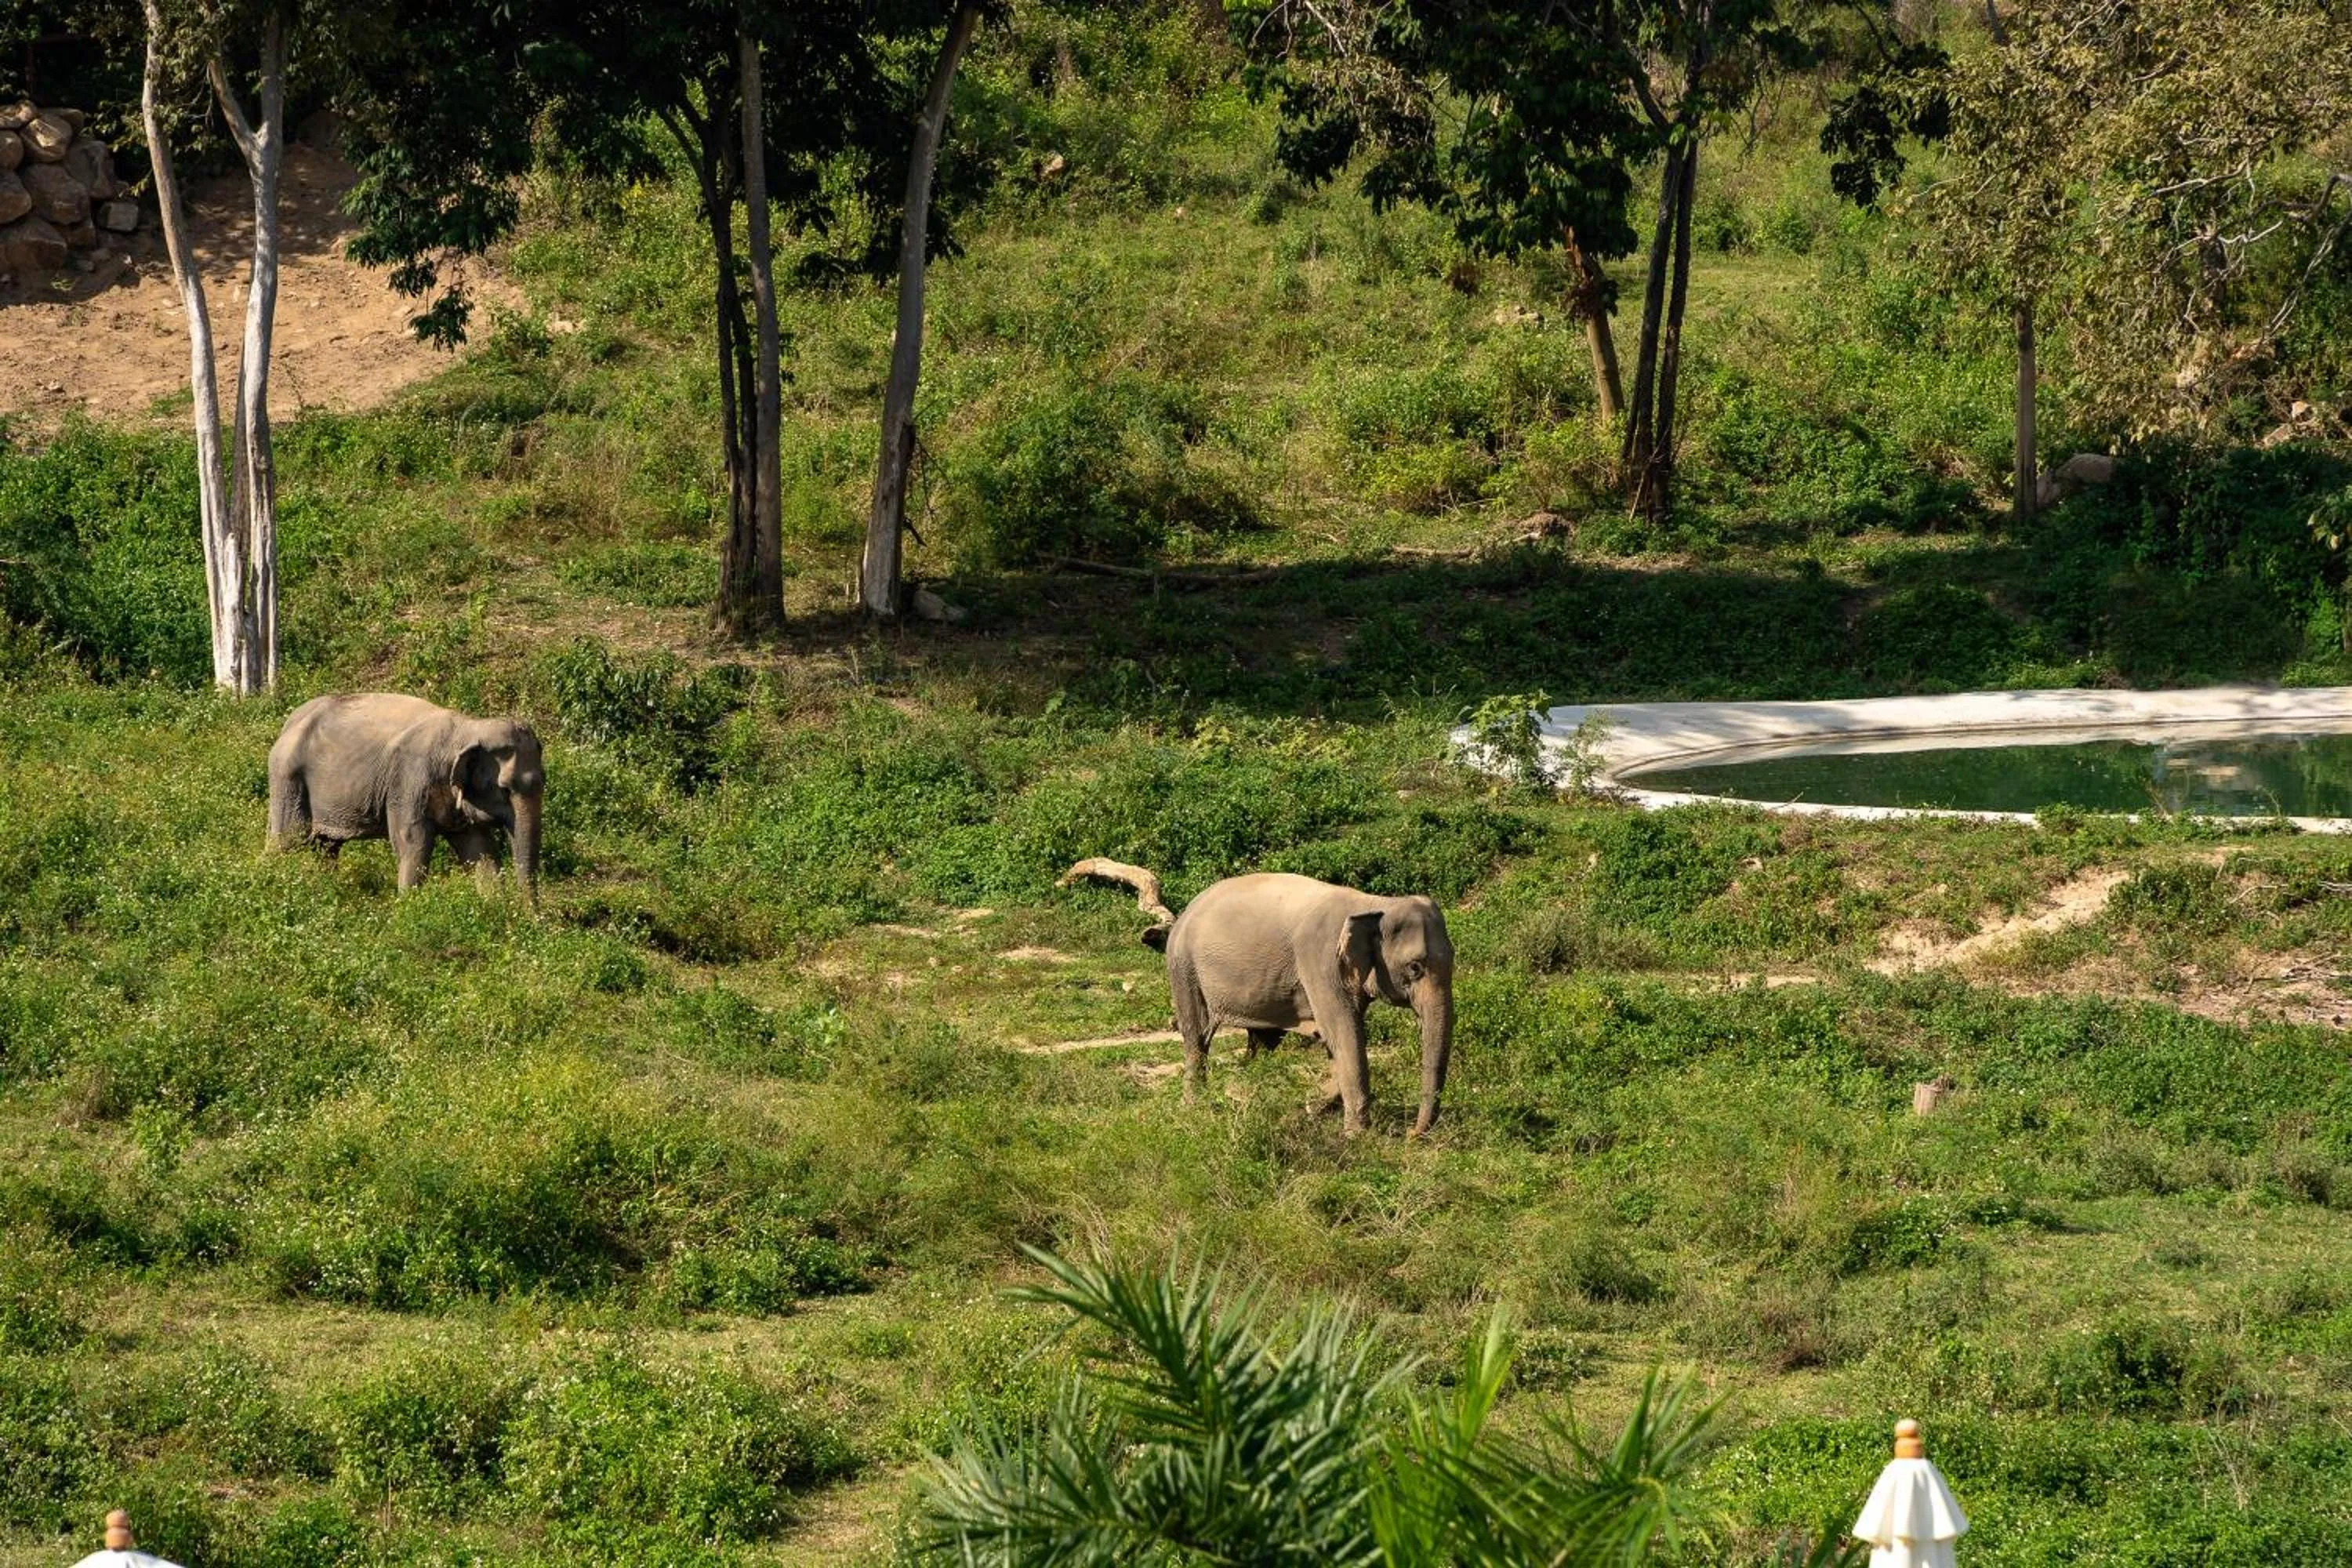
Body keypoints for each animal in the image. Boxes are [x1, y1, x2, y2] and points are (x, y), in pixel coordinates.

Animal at [267, 693, 544, 901]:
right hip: (288, 777)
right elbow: (413, 842)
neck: (468, 728)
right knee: (289, 839)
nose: (533, 920)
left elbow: (480, 848)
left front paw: (494, 907)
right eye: (505, 788)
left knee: (327, 846)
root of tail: (289, 721)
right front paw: (408, 908)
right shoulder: (409, 782)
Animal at [1151, 872, 1456, 1137]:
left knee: (1263, 1041)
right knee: (1197, 1036)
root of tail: (1188, 909)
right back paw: (1195, 1105)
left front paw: (1312, 1108)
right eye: (1415, 967)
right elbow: (1345, 1034)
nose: (1410, 1134)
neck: (1374, 904)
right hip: (1183, 966)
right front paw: (1356, 1135)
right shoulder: (1321, 961)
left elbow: (1335, 1040)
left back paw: (1240, 1093)